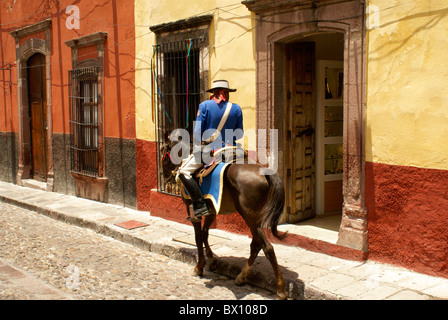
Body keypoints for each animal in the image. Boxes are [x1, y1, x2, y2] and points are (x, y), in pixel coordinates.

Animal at [159, 129, 288, 298]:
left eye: (163, 148)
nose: (162, 171)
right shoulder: (211, 210)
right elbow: (205, 233)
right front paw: (212, 259)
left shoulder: (192, 211)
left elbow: (198, 237)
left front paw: (199, 267)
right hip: (256, 218)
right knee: (256, 245)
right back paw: (242, 277)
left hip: (249, 216)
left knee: (267, 247)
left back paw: (281, 289)